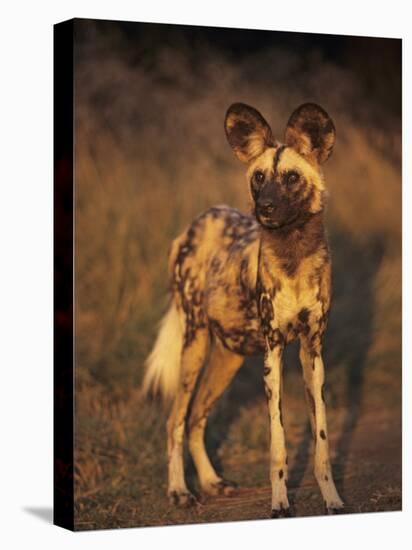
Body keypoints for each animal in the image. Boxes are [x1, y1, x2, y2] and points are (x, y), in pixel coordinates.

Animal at [143, 102, 342, 516]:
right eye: (259, 177)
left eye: (292, 178)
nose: (264, 207)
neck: (293, 255)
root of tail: (194, 225)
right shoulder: (274, 353)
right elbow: (278, 445)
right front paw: (280, 502)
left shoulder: (312, 352)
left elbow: (321, 438)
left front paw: (332, 498)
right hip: (194, 345)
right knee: (175, 421)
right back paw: (179, 491)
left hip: (228, 357)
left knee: (197, 418)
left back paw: (211, 482)